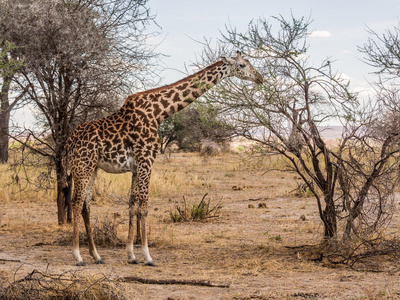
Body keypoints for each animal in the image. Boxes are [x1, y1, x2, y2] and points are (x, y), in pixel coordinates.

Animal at [67, 51, 264, 268]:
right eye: (241, 65)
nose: (260, 78)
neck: (159, 113)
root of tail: (69, 140)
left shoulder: (136, 167)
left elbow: (132, 205)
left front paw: (131, 255)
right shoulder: (147, 160)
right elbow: (144, 207)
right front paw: (147, 256)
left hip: (92, 167)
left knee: (86, 205)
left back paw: (96, 255)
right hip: (82, 165)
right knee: (76, 202)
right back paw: (78, 256)